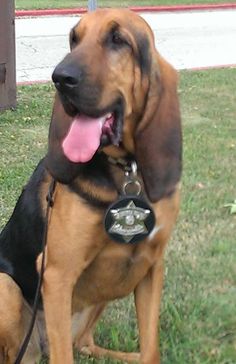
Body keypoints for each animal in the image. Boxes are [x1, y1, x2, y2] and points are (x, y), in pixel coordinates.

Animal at [0, 7, 181, 364]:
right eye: (74, 39)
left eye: (118, 40)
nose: (60, 78)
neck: (125, 174)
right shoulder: (56, 277)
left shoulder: (151, 267)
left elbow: (150, 349)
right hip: (7, 287)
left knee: (85, 343)